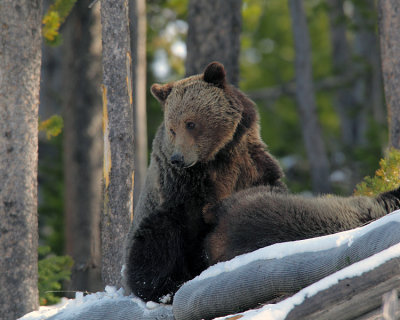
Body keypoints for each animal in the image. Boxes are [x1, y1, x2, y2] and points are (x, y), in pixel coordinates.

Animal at [123, 61, 286, 302]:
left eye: (190, 123)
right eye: (172, 128)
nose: (178, 158)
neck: (218, 156)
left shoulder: (249, 163)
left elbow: (266, 189)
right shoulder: (182, 185)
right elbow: (188, 227)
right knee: (154, 243)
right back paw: (165, 288)